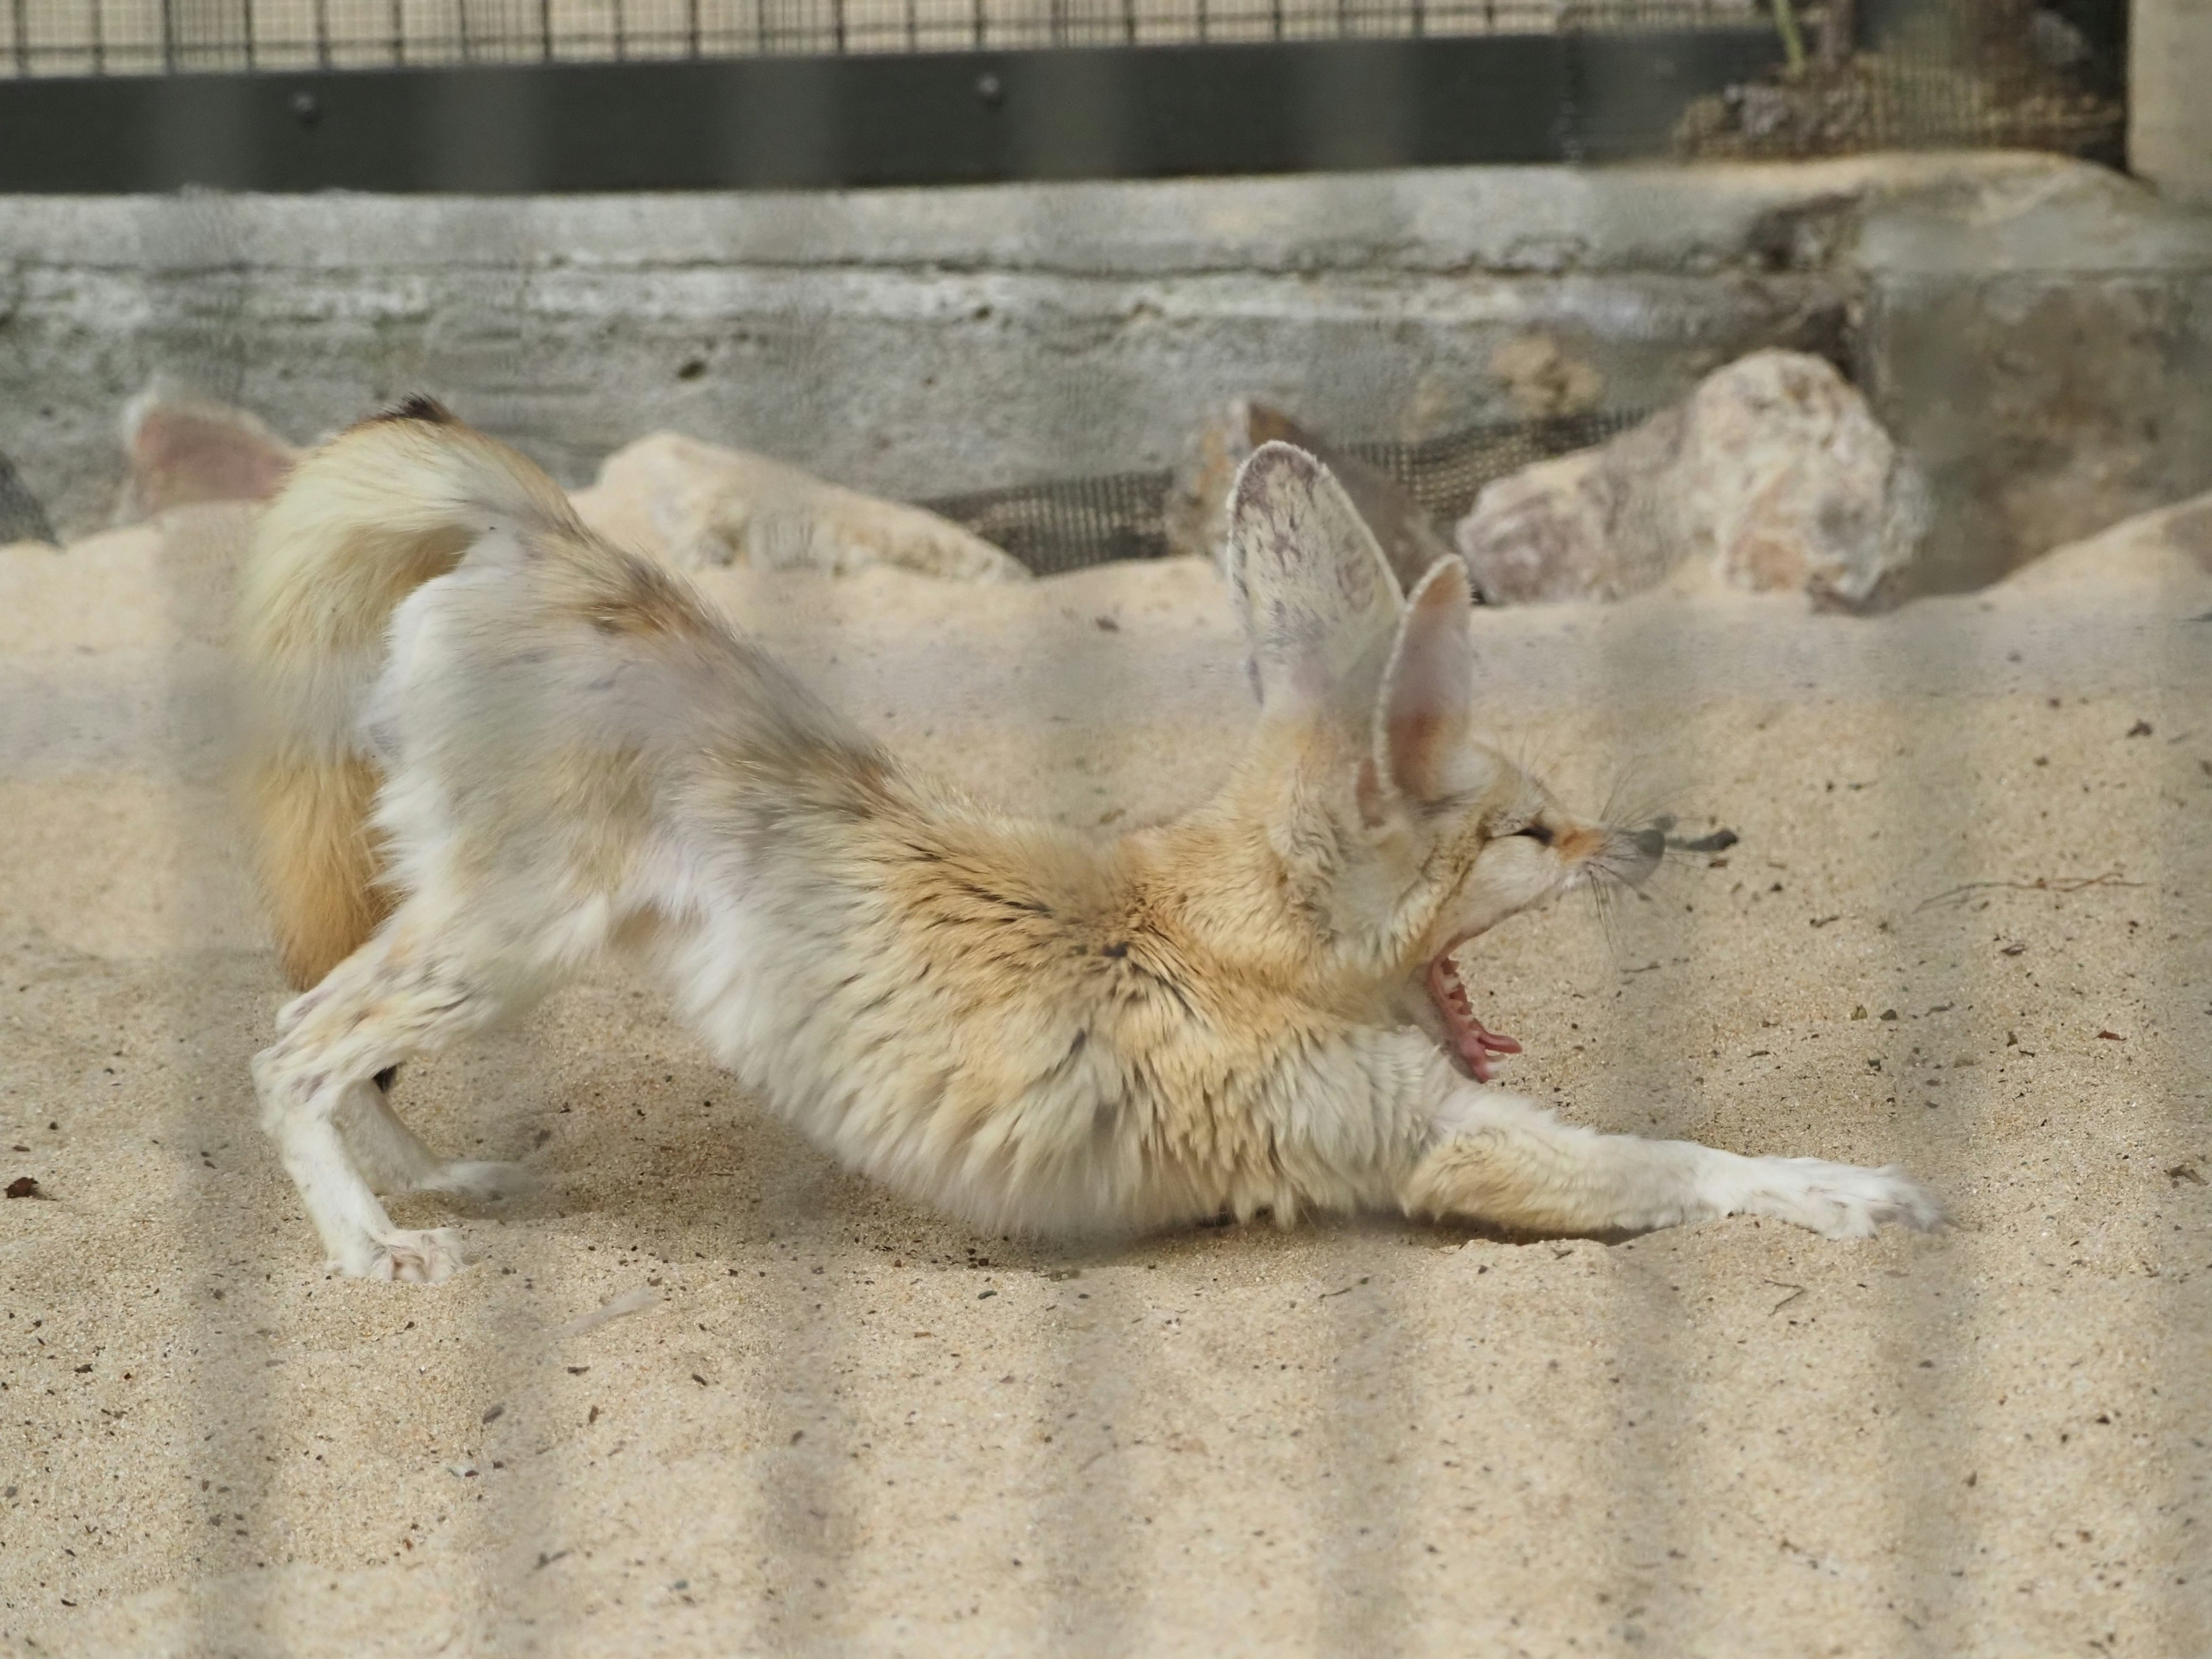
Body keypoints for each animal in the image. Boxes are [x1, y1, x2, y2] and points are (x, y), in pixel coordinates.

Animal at [247, 402, 1937, 1283]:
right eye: (1533, 829)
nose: (1653, 841)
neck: (1232, 928)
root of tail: (560, 540)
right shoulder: (1431, 1146)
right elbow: (1679, 1161)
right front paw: (1851, 1190)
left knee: (322, 1034)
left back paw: (428, 1183)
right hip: (514, 938)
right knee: (286, 1046)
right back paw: (369, 1245)